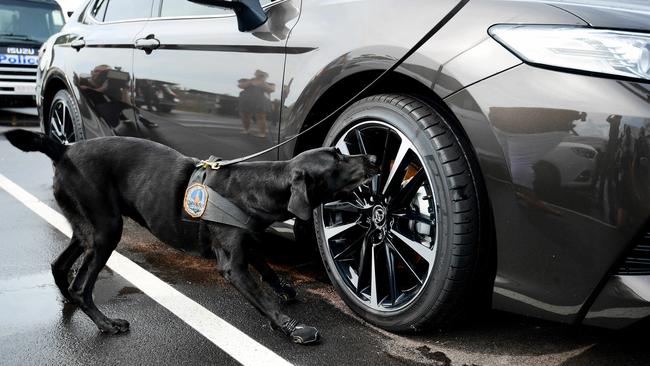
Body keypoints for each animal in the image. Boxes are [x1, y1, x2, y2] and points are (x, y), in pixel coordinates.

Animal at [5, 130, 378, 344]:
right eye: (337, 159)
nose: (373, 156)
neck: (261, 186)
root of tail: (63, 149)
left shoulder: (247, 241)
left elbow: (268, 269)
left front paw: (284, 290)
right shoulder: (232, 265)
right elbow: (263, 299)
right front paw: (291, 328)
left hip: (88, 229)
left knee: (60, 266)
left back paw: (68, 298)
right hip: (106, 230)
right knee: (83, 284)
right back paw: (106, 324)